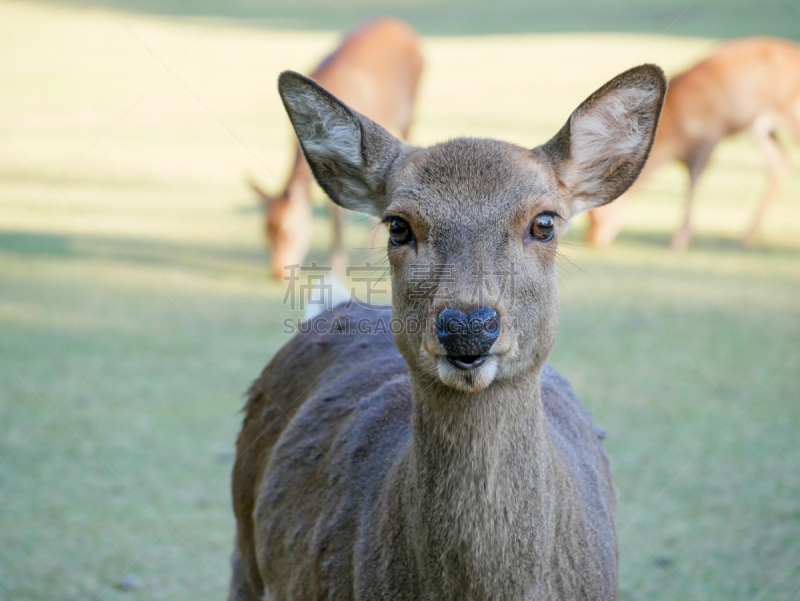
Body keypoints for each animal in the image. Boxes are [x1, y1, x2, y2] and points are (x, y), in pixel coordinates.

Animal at [252, 17, 424, 280]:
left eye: (289, 231)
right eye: (265, 232)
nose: (277, 274)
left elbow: (338, 211)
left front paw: (336, 265)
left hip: (410, 113)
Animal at [584, 37, 800, 251]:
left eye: (597, 214)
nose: (593, 240)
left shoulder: (709, 136)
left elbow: (694, 181)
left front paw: (679, 240)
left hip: (789, 113)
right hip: (760, 127)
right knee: (780, 162)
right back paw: (747, 236)